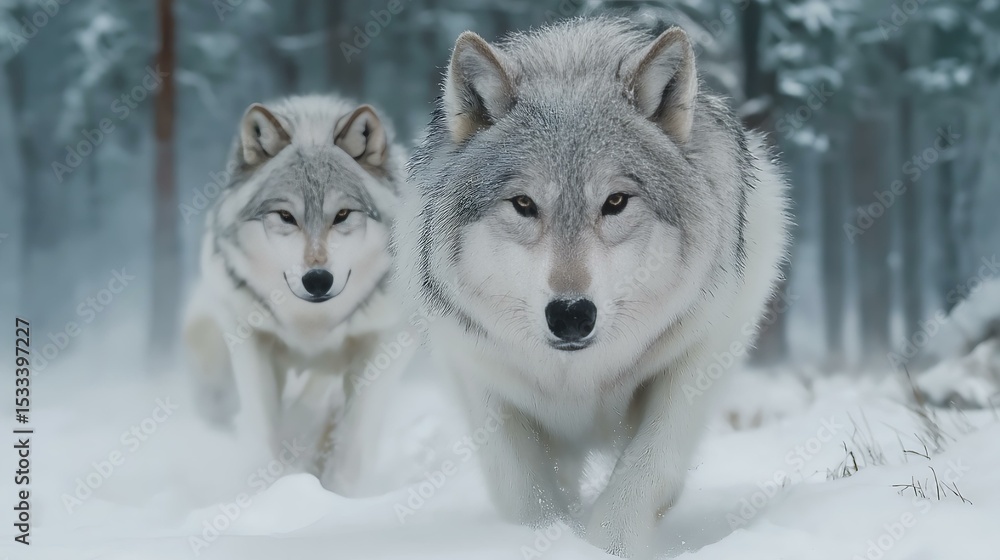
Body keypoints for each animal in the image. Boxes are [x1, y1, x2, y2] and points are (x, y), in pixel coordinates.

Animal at [183, 94, 412, 495]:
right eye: (286, 216)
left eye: (342, 214)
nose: (317, 280)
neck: (311, 327)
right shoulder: (250, 337)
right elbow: (265, 427)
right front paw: (276, 484)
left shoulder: (385, 340)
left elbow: (351, 436)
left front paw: (340, 492)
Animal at [399, 18, 790, 557]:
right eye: (523, 204)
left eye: (616, 201)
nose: (570, 315)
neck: (579, 377)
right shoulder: (480, 375)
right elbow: (525, 497)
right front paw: (546, 537)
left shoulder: (698, 357)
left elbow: (643, 477)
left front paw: (602, 541)